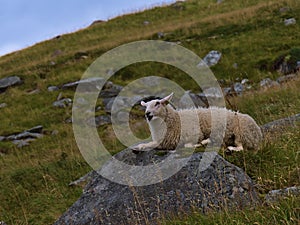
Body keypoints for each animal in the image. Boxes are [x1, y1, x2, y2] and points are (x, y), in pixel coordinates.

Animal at [134, 92, 262, 152]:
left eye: (157, 103)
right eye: (145, 106)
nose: (147, 114)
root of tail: (259, 135)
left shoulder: (194, 133)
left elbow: (188, 145)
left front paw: (200, 143)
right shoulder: (161, 142)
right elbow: (148, 144)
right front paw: (139, 147)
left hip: (241, 132)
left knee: (241, 147)